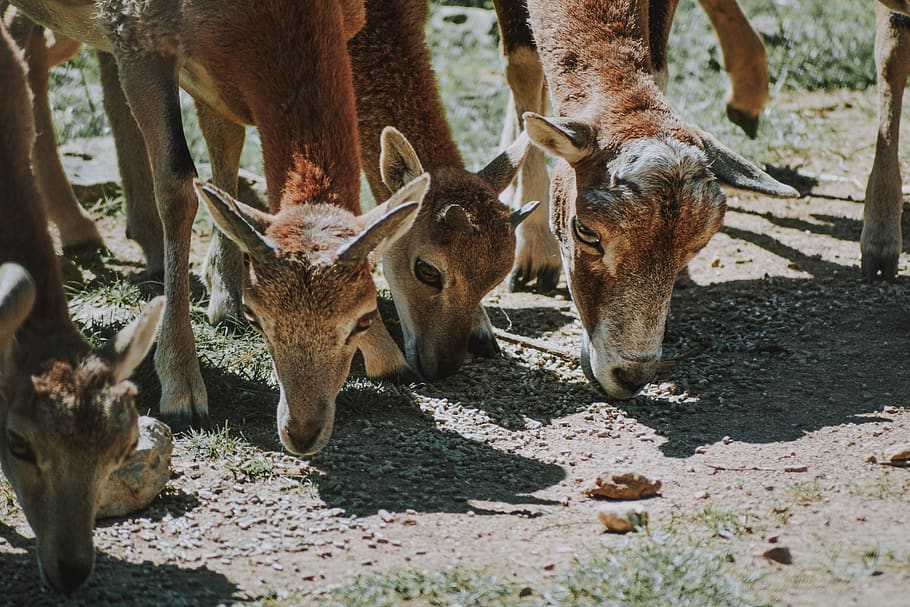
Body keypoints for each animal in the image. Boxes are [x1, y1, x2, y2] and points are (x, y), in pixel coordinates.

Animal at [6, 0, 431, 454]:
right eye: (256, 316)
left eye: (364, 317)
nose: (301, 432)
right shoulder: (135, 37)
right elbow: (178, 185)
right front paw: (183, 391)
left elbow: (226, 148)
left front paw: (389, 358)